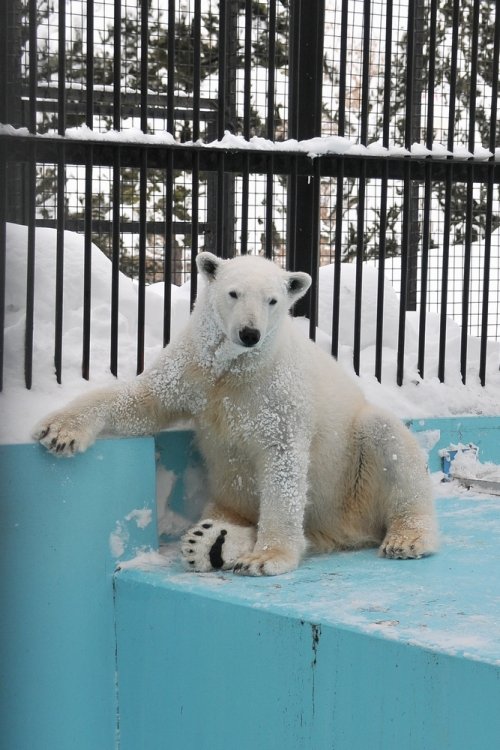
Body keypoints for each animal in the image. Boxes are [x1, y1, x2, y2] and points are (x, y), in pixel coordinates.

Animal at [34, 253, 438, 576]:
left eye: (272, 300)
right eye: (233, 293)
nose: (249, 333)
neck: (234, 369)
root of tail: (339, 530)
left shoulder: (277, 393)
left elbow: (283, 464)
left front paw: (266, 558)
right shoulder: (193, 372)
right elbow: (142, 400)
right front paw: (58, 431)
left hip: (352, 480)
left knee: (388, 442)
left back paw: (406, 539)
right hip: (230, 495)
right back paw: (210, 541)